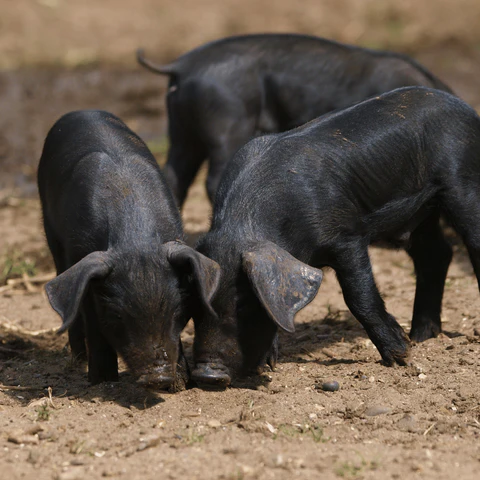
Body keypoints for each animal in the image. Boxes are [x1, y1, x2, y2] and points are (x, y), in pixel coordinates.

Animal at [39, 110, 219, 388]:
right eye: (117, 315)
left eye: (178, 309)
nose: (158, 377)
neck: (135, 238)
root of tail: (82, 111)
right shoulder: (82, 258)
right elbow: (93, 322)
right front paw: (102, 381)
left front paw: (180, 384)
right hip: (52, 233)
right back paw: (78, 361)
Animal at [191, 86, 480, 386]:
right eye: (194, 306)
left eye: (244, 305)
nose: (206, 374)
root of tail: (462, 105)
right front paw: (268, 365)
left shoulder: (346, 236)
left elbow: (358, 296)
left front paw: (401, 357)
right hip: (421, 213)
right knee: (436, 255)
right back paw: (422, 337)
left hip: (463, 183)